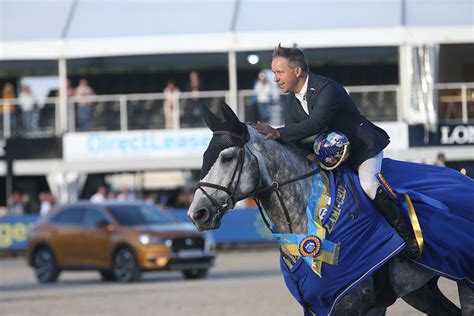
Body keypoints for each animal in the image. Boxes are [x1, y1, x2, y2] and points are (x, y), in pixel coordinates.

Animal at [187, 102, 472, 314]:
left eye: (227, 157)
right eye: (204, 156)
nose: (197, 213)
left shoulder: (350, 303)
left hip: (466, 281)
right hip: (420, 290)